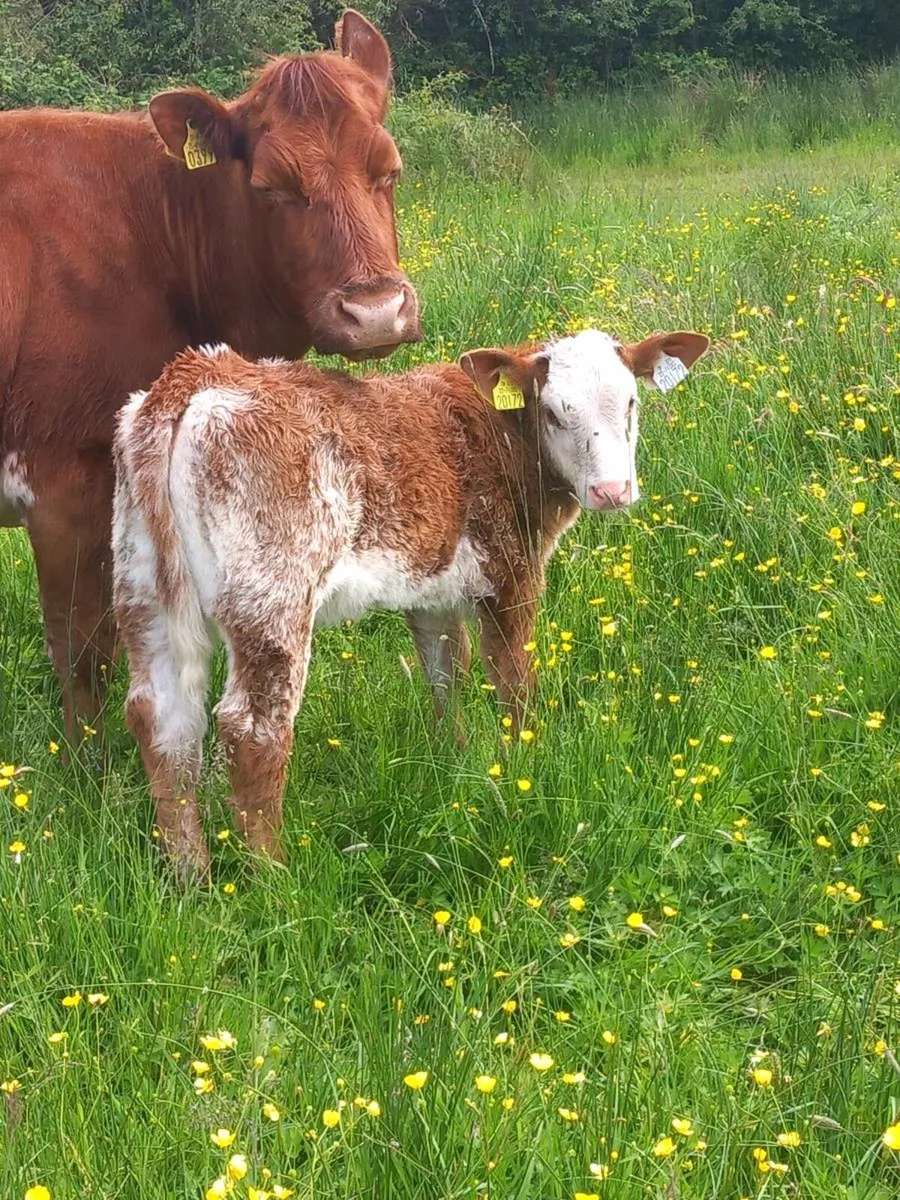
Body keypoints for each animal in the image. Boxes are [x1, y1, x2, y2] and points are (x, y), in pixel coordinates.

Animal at [0, 10, 419, 742]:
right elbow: (80, 650)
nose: (375, 312)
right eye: (271, 187)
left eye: (388, 170)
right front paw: (87, 769)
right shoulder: (61, 478)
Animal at [112, 328, 709, 878]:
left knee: (161, 716)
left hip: (143, 587)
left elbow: (447, 671)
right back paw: (274, 877)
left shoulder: (431, 588)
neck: (498, 431)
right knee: (251, 729)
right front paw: (524, 764)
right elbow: (512, 675)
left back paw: (190, 876)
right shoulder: (511, 572)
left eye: (630, 402)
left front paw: (455, 761)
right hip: (271, 594)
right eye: (554, 414)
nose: (613, 490)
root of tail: (197, 375)